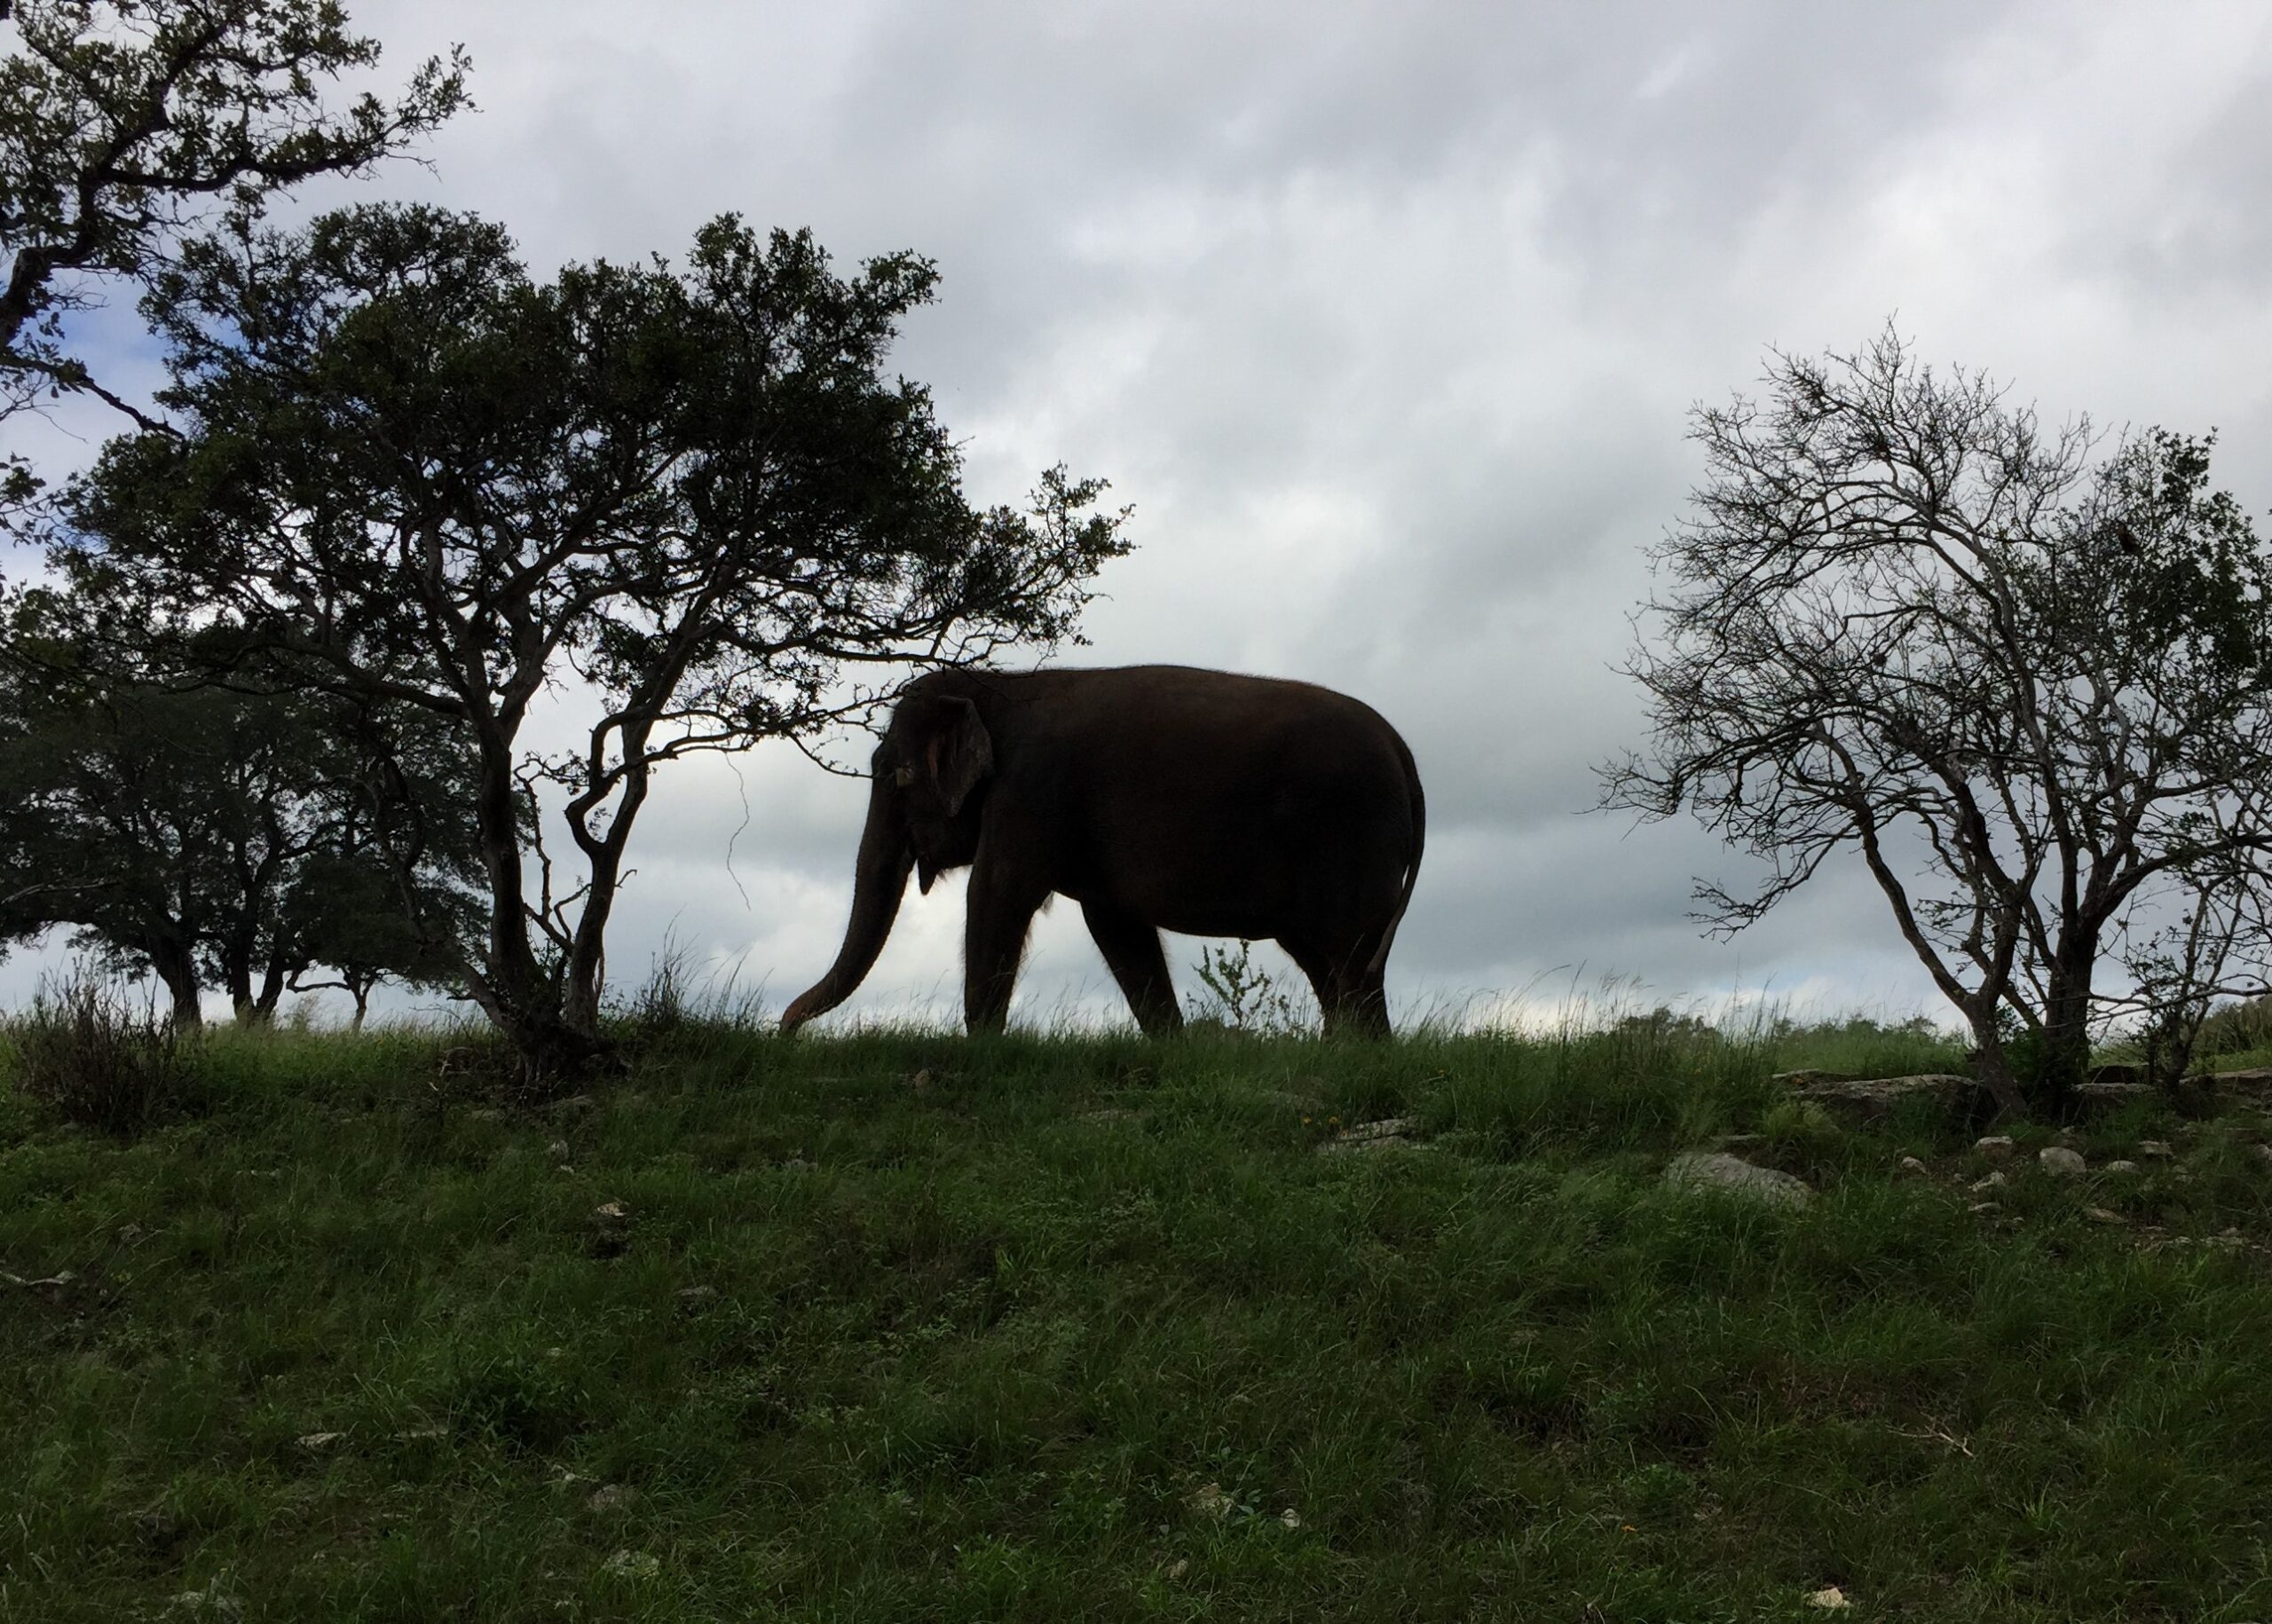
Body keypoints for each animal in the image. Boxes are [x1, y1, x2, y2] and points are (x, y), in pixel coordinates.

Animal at [777, 663, 1417, 1036]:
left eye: (892, 775)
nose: (785, 1032)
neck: (1001, 683)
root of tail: (1401, 747)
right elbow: (1116, 928)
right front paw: (1173, 1049)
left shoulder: (1030, 793)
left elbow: (998, 895)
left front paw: (979, 1049)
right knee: (1327, 962)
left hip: (1354, 836)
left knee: (1352, 958)